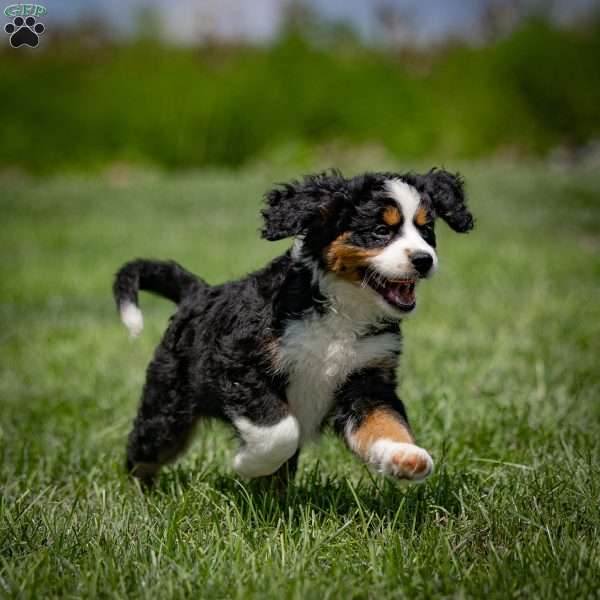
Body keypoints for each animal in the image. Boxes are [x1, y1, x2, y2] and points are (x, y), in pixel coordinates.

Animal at [115, 169, 474, 482]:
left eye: (427, 231)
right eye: (381, 231)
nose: (424, 260)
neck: (342, 310)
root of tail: (199, 292)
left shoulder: (368, 382)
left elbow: (386, 423)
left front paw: (406, 456)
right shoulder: (241, 366)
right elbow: (281, 433)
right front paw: (246, 464)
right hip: (168, 409)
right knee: (143, 453)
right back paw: (141, 496)